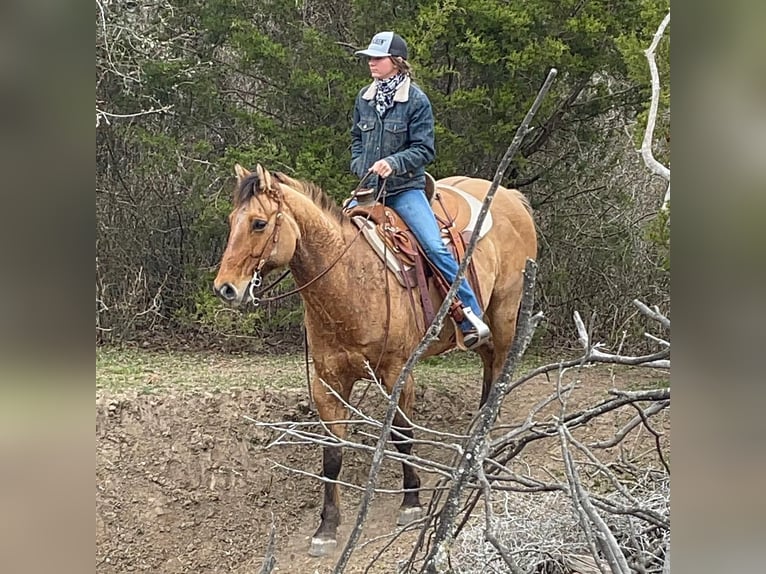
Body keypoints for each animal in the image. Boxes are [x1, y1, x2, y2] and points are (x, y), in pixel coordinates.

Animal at [214, 165, 540, 560]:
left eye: (259, 223)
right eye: (232, 221)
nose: (225, 288)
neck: (349, 282)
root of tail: (511, 197)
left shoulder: (398, 372)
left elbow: (401, 435)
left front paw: (411, 501)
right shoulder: (328, 383)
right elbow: (332, 455)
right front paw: (326, 527)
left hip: (506, 309)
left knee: (502, 367)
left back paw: (485, 434)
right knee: (489, 363)